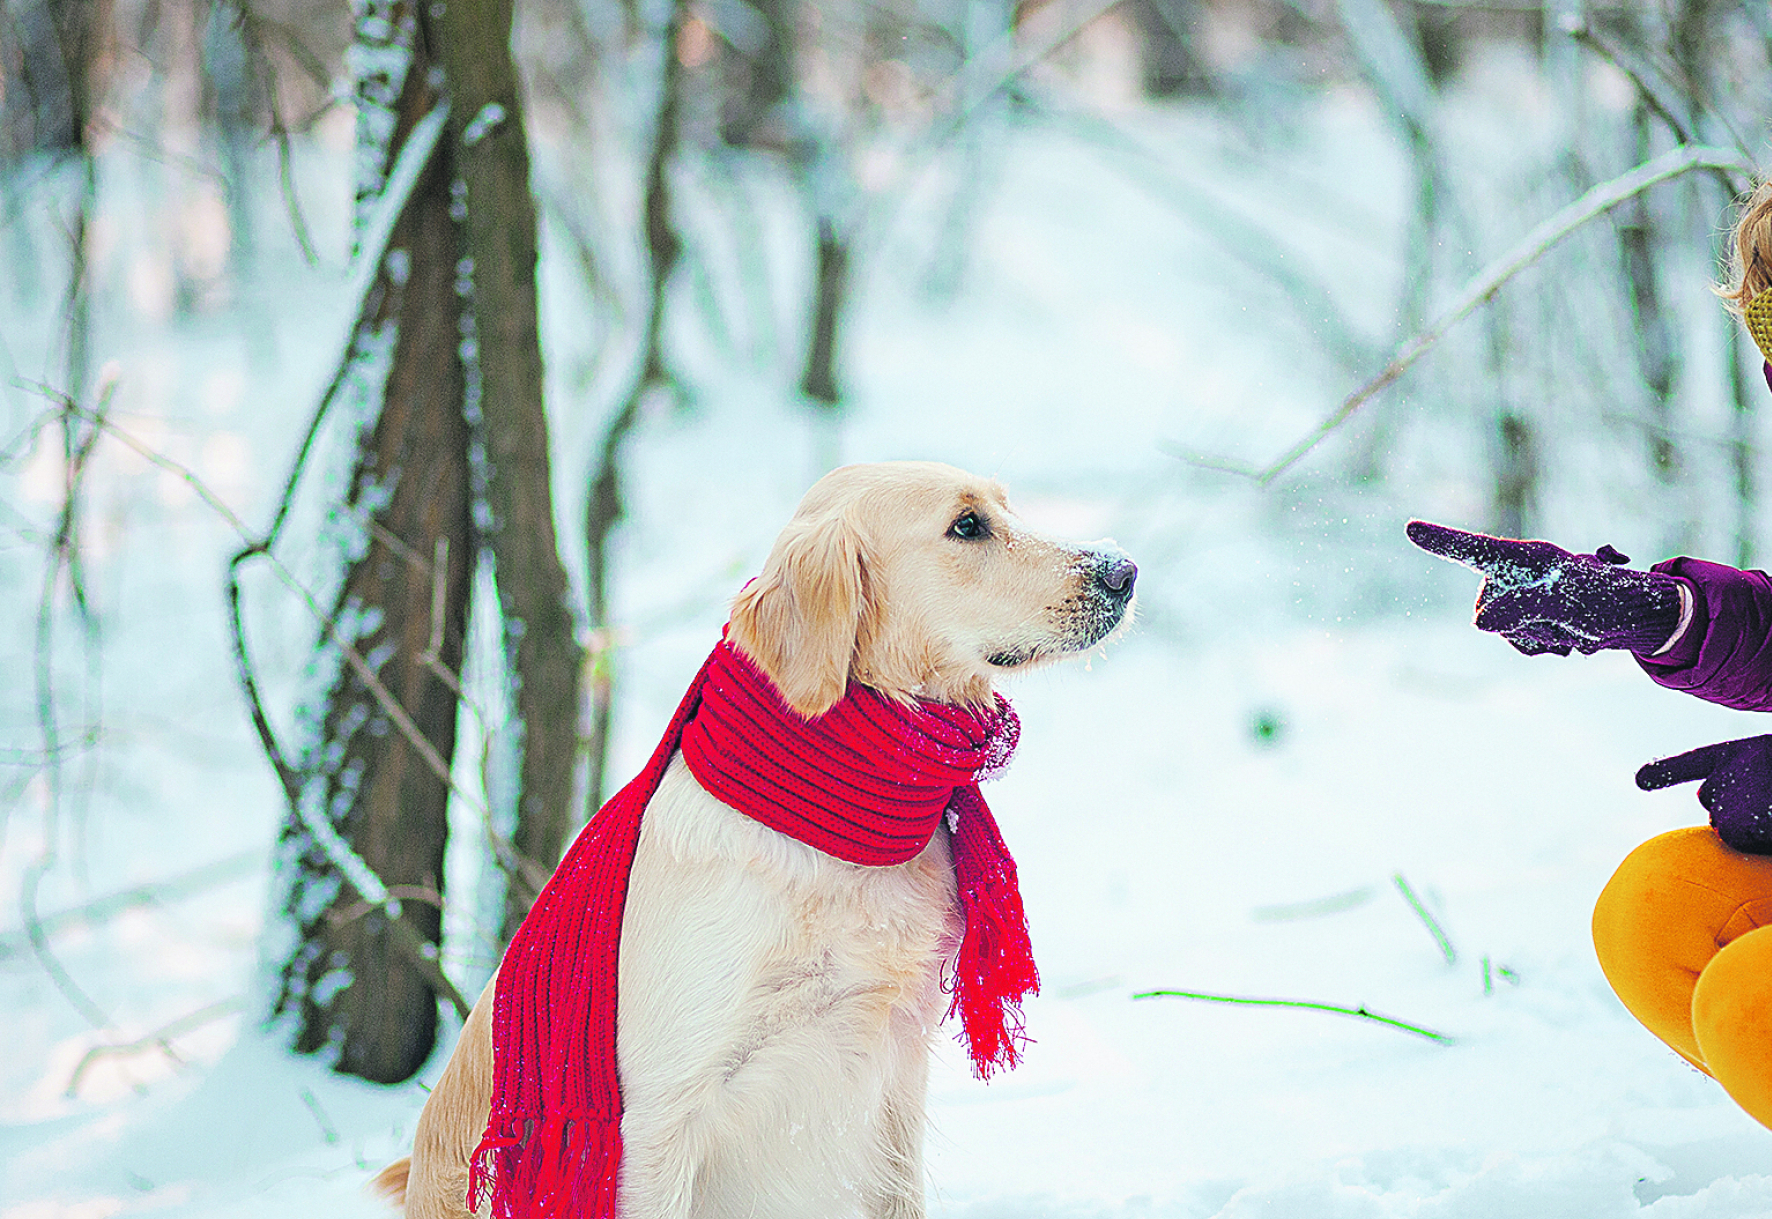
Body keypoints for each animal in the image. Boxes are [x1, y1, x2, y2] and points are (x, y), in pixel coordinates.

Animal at [380, 460, 1141, 1211]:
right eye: (967, 526)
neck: (838, 830)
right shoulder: (658, 1115)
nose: (1124, 570)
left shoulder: (897, 1067)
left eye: (1006, 509)